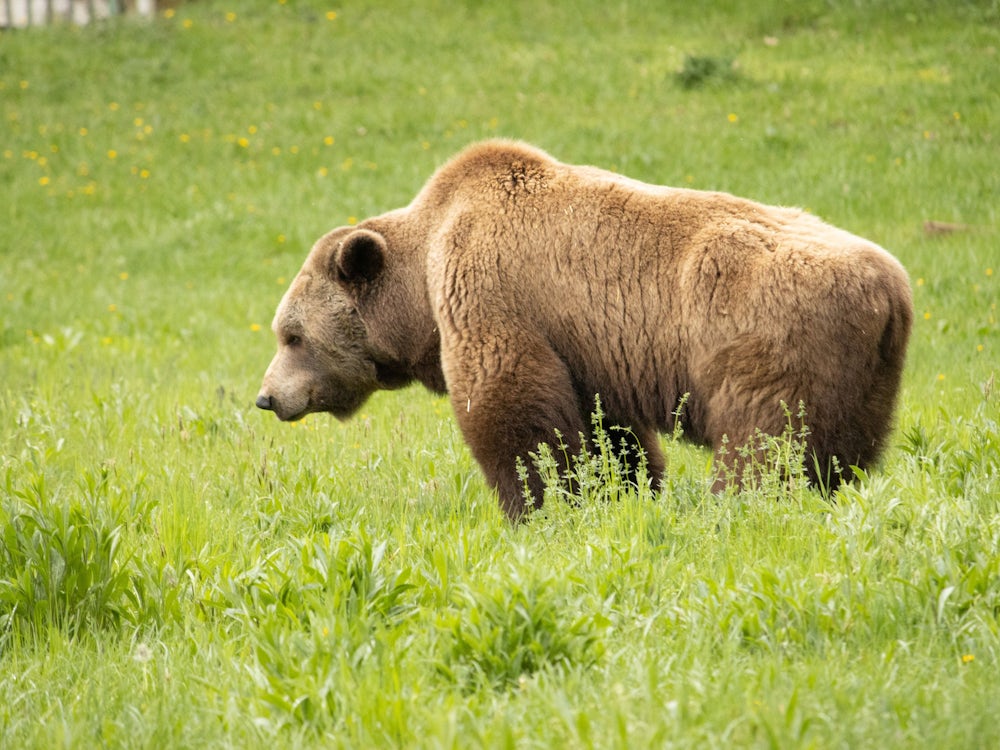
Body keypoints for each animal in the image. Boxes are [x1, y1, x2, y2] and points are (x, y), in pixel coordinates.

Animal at [258, 138, 916, 520]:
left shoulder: (492, 289)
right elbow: (608, 429)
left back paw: (739, 507)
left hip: (766, 338)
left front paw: (537, 505)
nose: (267, 397)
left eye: (292, 335)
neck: (419, 285)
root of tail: (891, 290)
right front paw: (622, 491)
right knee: (842, 453)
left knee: (763, 442)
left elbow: (511, 405)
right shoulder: (591, 347)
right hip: (864, 379)